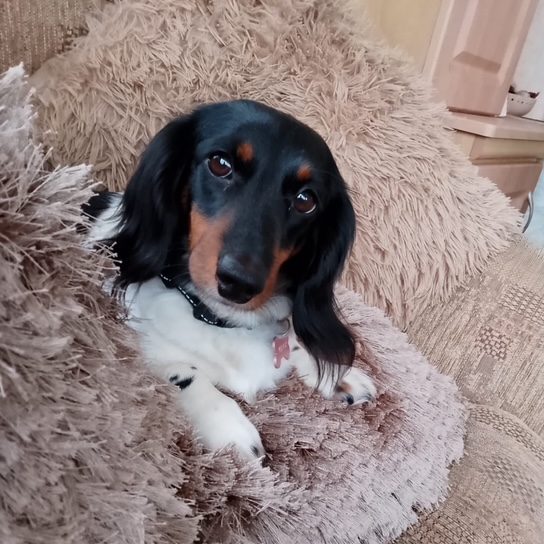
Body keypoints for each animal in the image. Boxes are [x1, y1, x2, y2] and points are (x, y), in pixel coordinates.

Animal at [84, 100, 376, 460]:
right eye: (220, 164)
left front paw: (338, 373)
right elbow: (183, 372)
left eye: (306, 200)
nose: (238, 283)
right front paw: (228, 427)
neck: (218, 317)